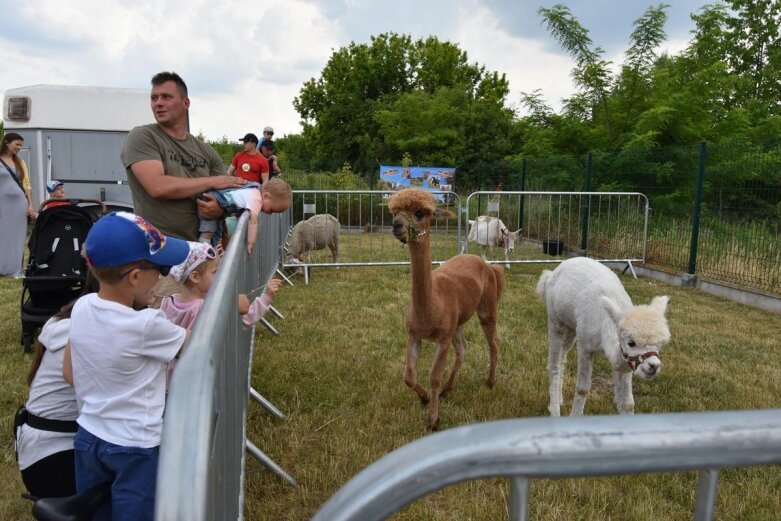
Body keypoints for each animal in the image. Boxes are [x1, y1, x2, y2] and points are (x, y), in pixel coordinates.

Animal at [536, 258, 672, 416]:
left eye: (659, 345)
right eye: (631, 343)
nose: (653, 366)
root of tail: (552, 273)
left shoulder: (626, 360)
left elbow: (628, 403)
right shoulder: (585, 346)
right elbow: (582, 388)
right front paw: (575, 415)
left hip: (571, 327)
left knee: (562, 358)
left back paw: (559, 400)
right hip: (555, 319)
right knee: (554, 364)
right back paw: (554, 409)